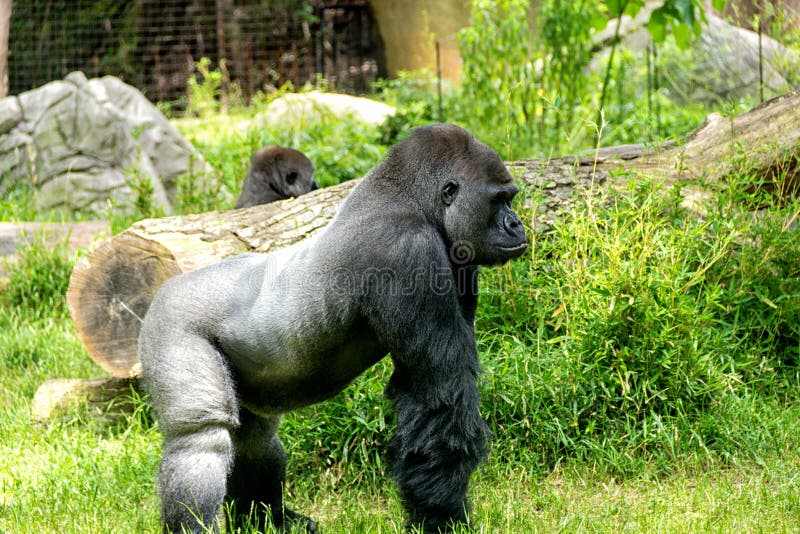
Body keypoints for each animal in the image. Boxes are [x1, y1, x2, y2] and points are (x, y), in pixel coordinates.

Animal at [138, 124, 529, 533]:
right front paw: (442, 518)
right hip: (172, 325)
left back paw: (268, 519)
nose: (516, 224)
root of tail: (164, 288)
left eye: (510, 198)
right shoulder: (407, 254)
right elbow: (438, 395)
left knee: (255, 440)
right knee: (202, 440)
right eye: (499, 201)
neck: (413, 203)